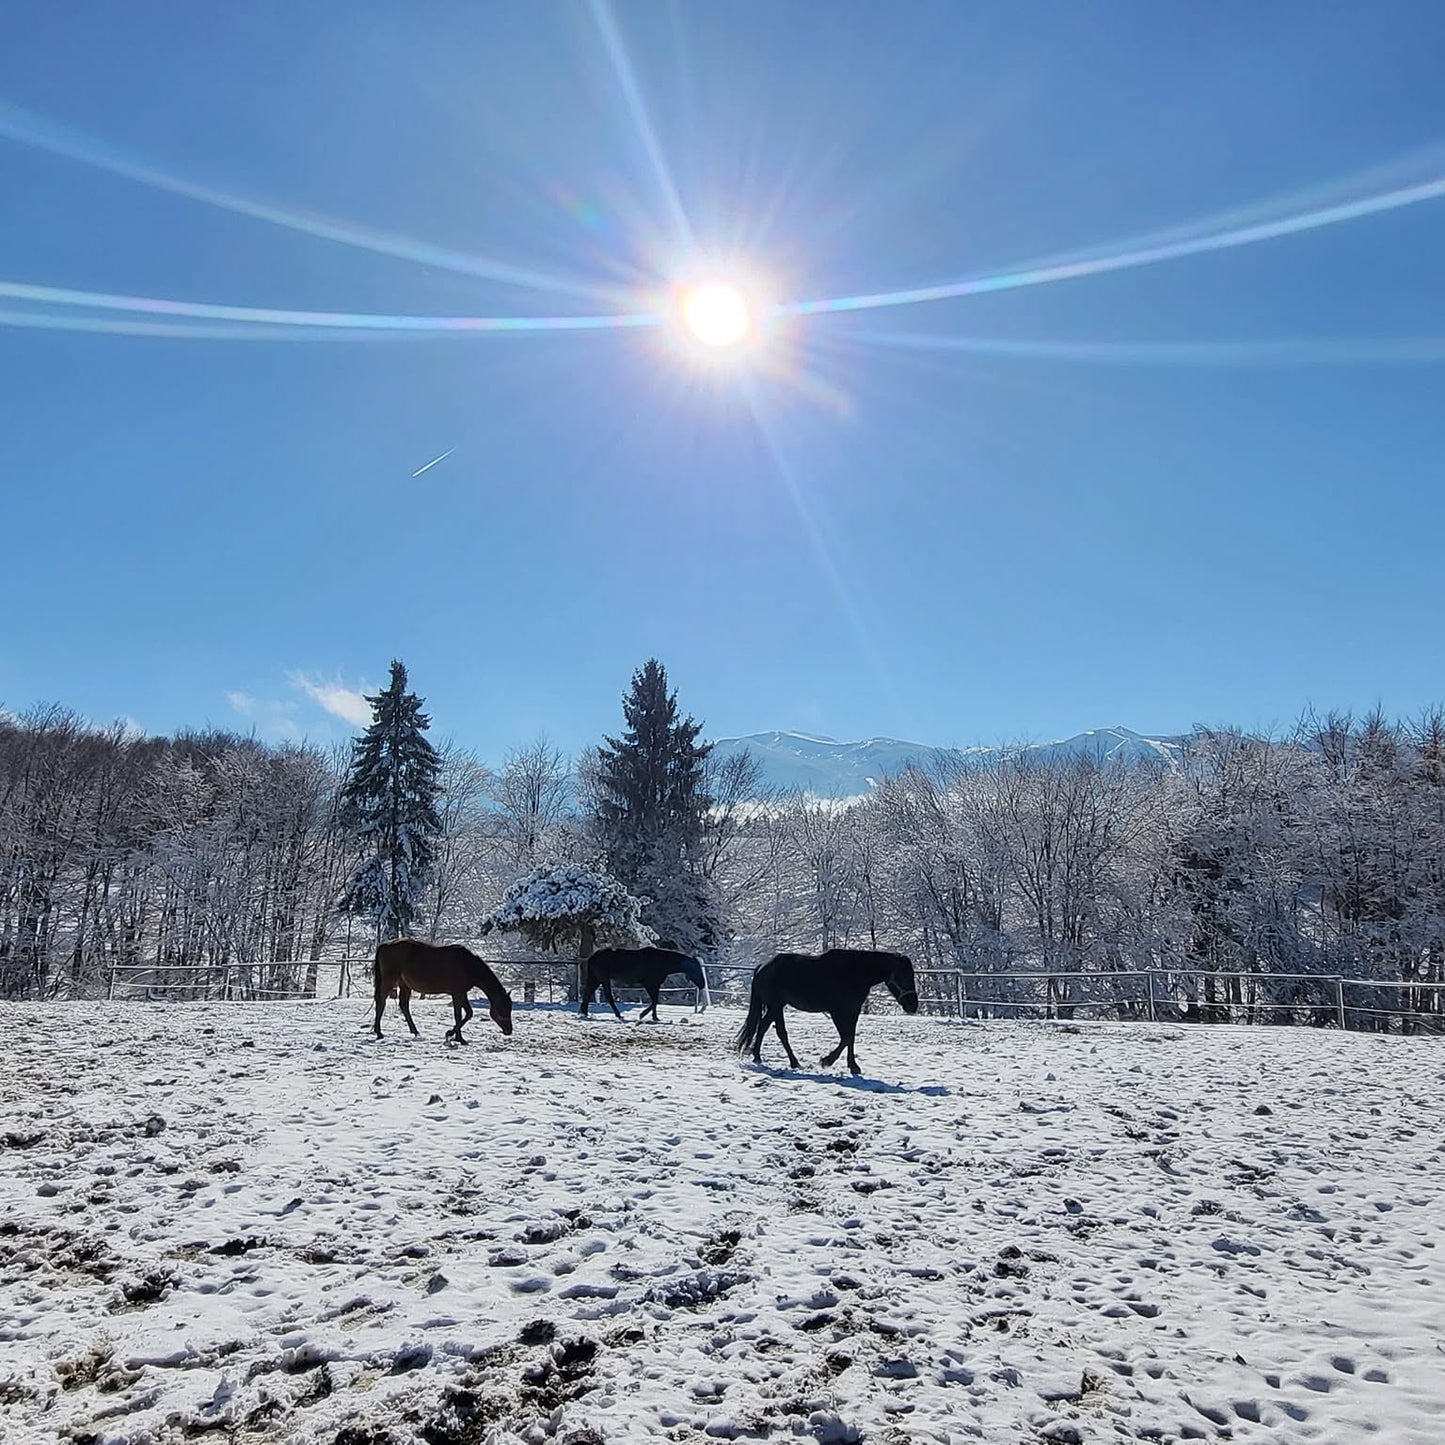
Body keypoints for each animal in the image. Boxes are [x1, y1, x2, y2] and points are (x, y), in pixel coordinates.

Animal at [372, 938, 514, 1044]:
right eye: (502, 1008)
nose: (509, 1030)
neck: (467, 965)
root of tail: (386, 945)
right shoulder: (457, 994)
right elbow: (458, 1015)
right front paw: (454, 1036)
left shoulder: (462, 993)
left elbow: (469, 1013)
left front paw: (455, 1036)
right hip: (390, 980)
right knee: (381, 1002)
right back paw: (379, 1032)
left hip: (405, 985)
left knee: (403, 1005)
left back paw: (415, 1032)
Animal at [581, 946, 709, 1023]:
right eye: (697, 970)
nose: (702, 984)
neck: (662, 962)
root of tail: (593, 956)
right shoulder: (650, 984)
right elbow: (654, 1001)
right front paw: (642, 1015)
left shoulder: (656, 985)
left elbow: (655, 1001)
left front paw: (655, 1017)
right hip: (603, 979)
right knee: (608, 997)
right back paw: (618, 1015)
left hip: (596, 979)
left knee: (588, 993)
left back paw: (584, 1012)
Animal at [735, 948, 918, 1076]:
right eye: (903, 976)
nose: (913, 1005)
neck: (855, 972)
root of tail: (762, 967)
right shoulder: (837, 1011)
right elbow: (846, 1037)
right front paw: (827, 1060)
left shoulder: (853, 1011)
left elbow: (850, 1037)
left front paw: (853, 1066)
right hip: (776, 1006)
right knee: (779, 1031)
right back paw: (793, 1062)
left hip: (775, 1007)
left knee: (763, 1026)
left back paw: (758, 1056)